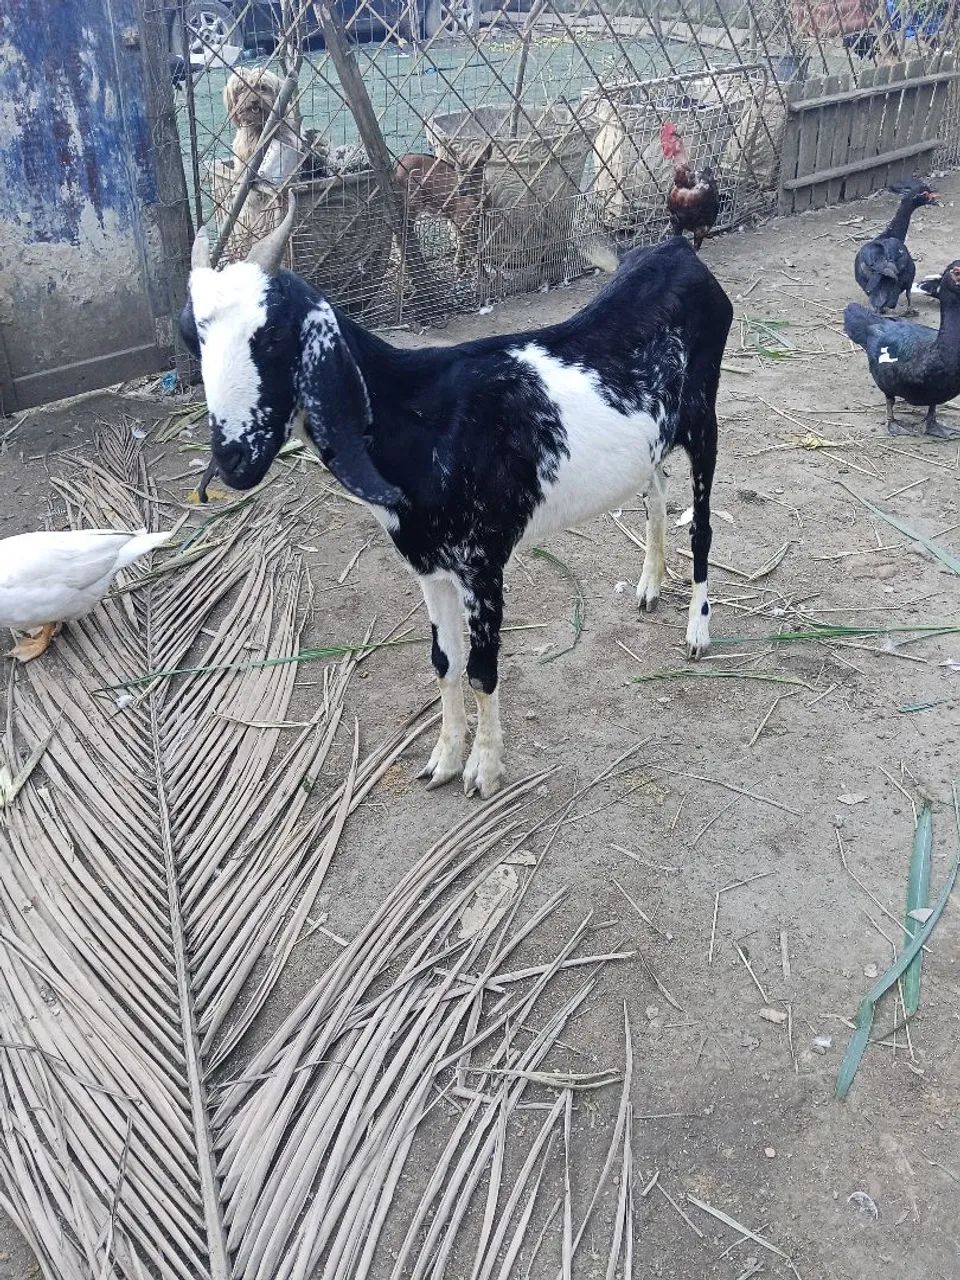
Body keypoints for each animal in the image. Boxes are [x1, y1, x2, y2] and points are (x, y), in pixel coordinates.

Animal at [181, 200, 733, 799]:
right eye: (193, 336)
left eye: (273, 336)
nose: (233, 457)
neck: (424, 420)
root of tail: (677, 249)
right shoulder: (429, 565)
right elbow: (444, 661)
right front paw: (443, 759)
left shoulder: (482, 562)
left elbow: (481, 669)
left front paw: (484, 770)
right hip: (652, 436)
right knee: (654, 490)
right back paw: (650, 584)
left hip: (703, 420)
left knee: (701, 526)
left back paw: (697, 631)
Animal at [394, 146, 491, 276]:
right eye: (458, 169)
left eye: (478, 165)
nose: (462, 190)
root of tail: (399, 159)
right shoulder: (461, 219)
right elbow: (468, 244)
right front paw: (471, 271)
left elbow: (461, 241)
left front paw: (461, 267)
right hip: (411, 202)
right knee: (402, 234)